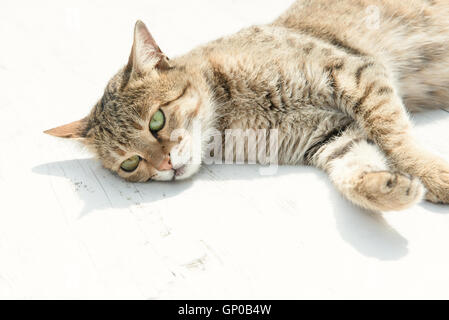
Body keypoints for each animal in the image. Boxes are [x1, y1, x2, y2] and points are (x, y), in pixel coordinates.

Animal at [43, 0, 448, 212]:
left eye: (156, 120)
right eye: (130, 164)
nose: (165, 166)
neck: (231, 119)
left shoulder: (353, 73)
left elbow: (395, 138)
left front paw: (432, 176)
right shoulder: (332, 137)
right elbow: (354, 173)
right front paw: (387, 189)